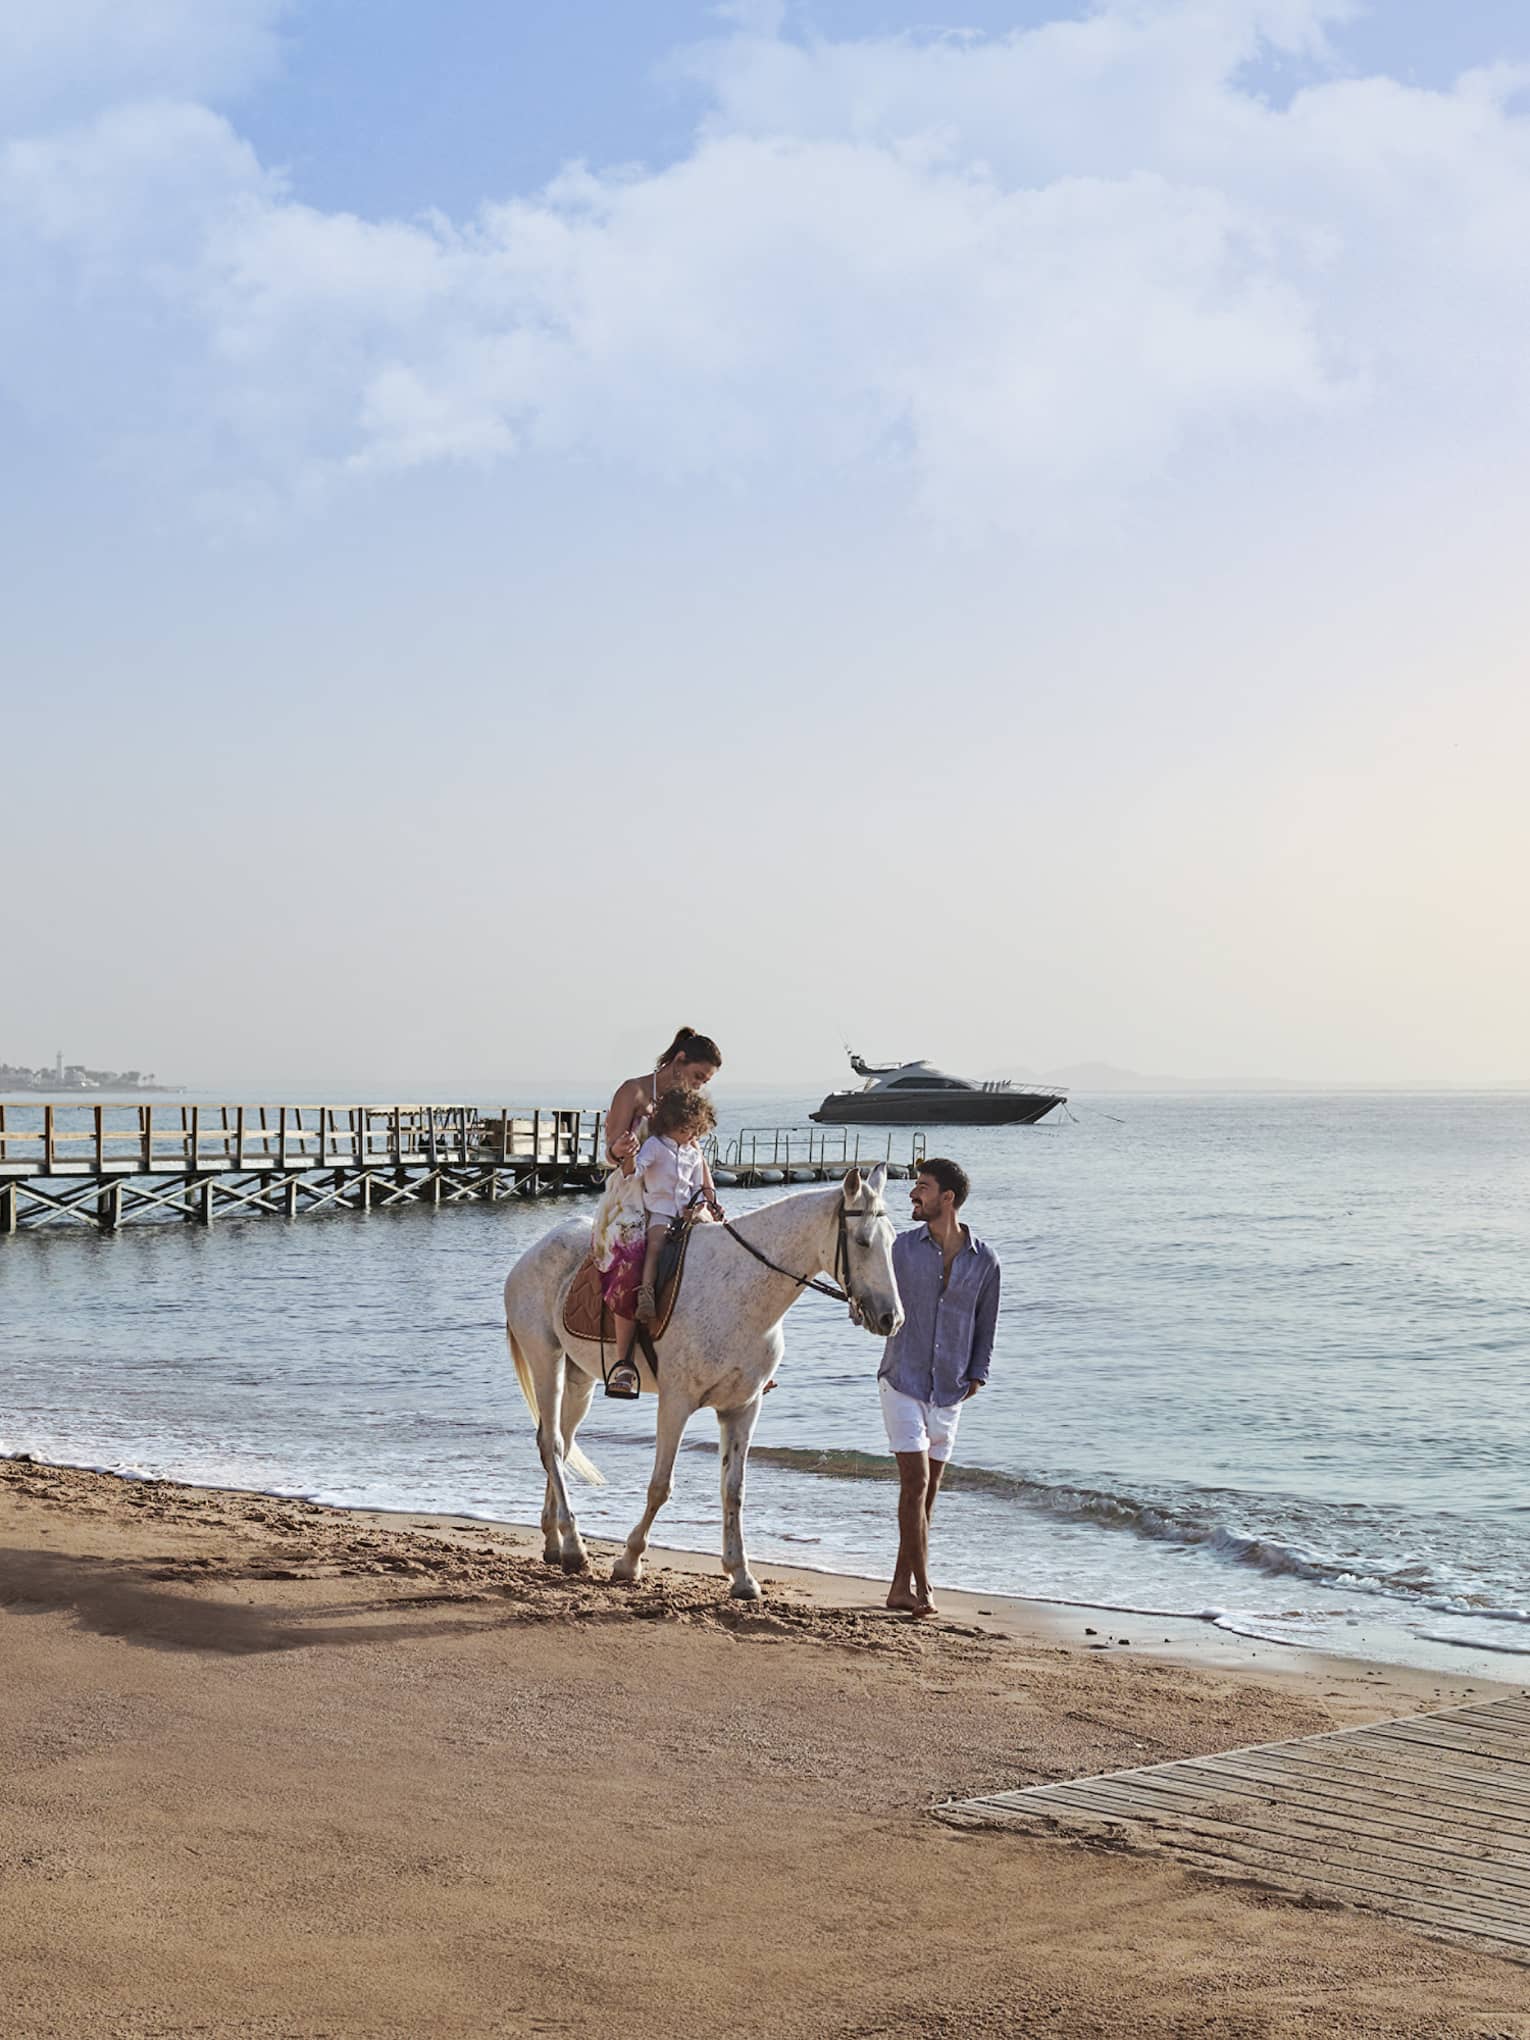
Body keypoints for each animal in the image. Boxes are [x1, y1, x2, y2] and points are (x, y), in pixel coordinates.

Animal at [502, 1166, 903, 1601]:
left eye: (892, 1241)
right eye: (862, 1242)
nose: (892, 1318)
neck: (742, 1290)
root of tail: (535, 1250)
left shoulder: (742, 1408)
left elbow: (734, 1491)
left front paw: (741, 1574)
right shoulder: (676, 1404)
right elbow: (661, 1486)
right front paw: (629, 1561)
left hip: (579, 1378)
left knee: (560, 1442)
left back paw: (555, 1541)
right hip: (547, 1360)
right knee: (551, 1444)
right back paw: (575, 1546)